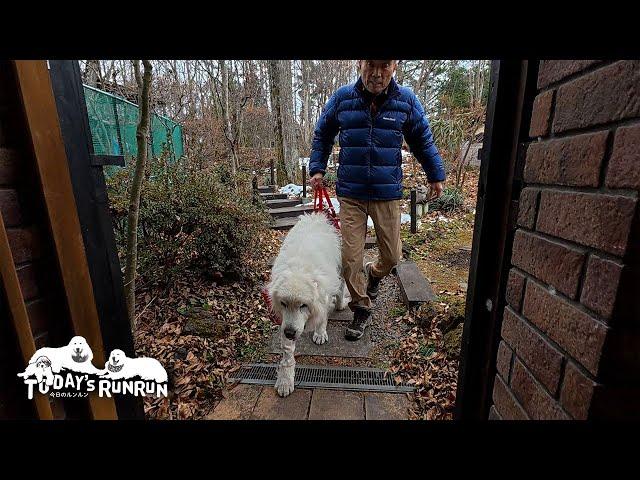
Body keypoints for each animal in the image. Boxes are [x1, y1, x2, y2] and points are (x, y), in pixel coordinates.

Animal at [266, 214, 350, 398]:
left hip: (341, 266)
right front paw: (285, 381)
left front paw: (320, 333)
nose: (290, 333)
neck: (299, 269)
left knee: (341, 286)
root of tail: (316, 216)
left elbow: (322, 316)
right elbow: (287, 352)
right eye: (283, 303)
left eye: (303, 305)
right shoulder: (286, 322)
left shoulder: (324, 295)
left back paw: (340, 304)